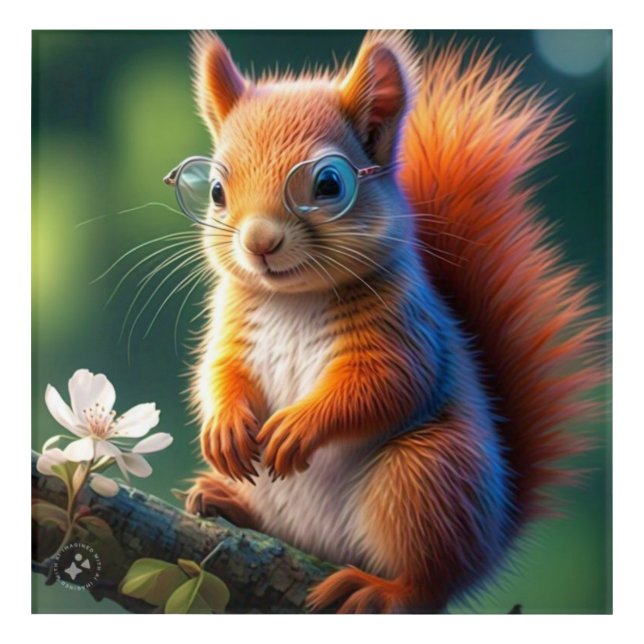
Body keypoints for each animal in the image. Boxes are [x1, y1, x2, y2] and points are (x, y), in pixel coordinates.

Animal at [182, 30, 603, 613]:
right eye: (216, 191)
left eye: (329, 184)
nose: (259, 243)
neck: (294, 298)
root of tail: (489, 548)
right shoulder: (231, 329)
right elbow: (218, 375)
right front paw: (223, 425)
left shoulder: (406, 330)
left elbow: (383, 385)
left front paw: (299, 426)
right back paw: (223, 499)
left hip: (424, 476)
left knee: (427, 581)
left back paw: (378, 588)